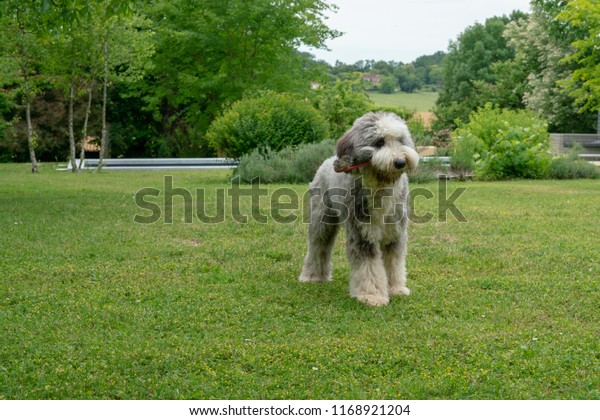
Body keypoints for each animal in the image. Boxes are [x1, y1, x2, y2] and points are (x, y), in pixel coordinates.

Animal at [298, 111, 420, 306]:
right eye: (379, 142)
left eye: (401, 140)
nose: (400, 162)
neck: (380, 187)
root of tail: (327, 161)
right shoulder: (363, 233)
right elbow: (368, 266)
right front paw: (371, 295)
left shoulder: (395, 233)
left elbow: (394, 262)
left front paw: (396, 289)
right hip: (321, 221)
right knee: (318, 246)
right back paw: (313, 276)